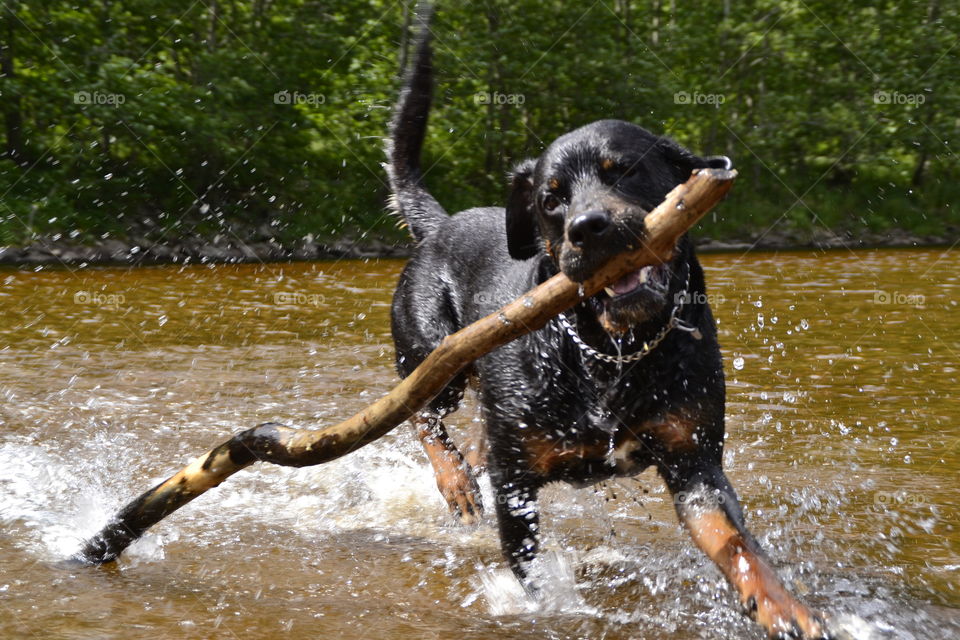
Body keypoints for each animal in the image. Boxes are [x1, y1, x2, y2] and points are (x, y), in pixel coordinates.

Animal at [386, 7, 828, 636]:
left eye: (625, 171)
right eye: (551, 199)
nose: (587, 227)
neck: (612, 349)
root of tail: (439, 224)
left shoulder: (694, 461)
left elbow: (737, 544)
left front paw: (784, 607)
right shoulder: (515, 480)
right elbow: (530, 568)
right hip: (430, 352)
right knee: (420, 412)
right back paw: (455, 481)